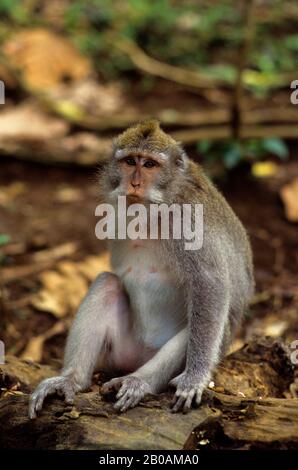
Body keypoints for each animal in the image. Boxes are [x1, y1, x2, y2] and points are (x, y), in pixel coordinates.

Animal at [29, 118, 255, 418]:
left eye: (149, 165)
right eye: (130, 161)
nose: (134, 182)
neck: (156, 209)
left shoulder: (188, 224)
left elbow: (210, 285)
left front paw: (194, 378)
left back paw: (139, 381)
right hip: (122, 350)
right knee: (107, 283)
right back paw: (72, 380)